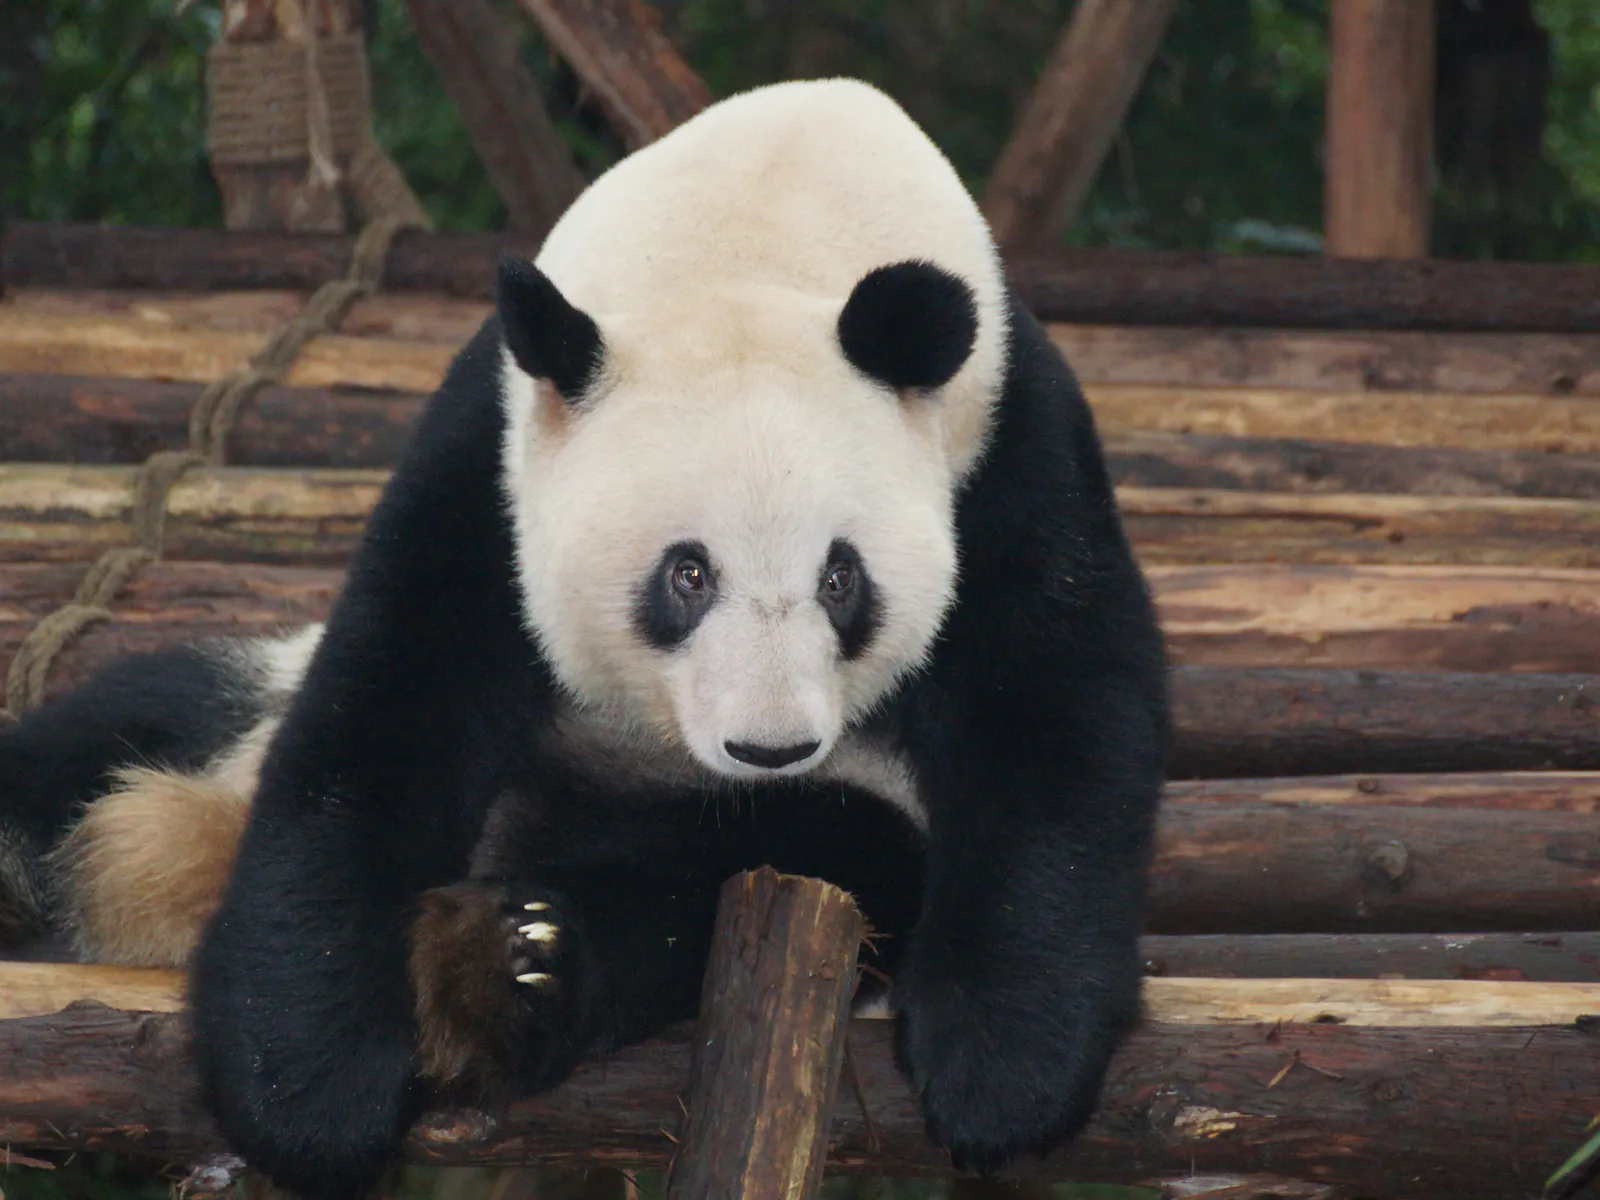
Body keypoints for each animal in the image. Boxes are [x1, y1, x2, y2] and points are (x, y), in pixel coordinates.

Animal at [0, 79, 1167, 1200]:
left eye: (842, 580)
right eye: (686, 575)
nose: (770, 745)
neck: (765, 229)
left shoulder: (1008, 445)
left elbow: (1059, 712)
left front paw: (1003, 1070)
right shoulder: (491, 457)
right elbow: (387, 706)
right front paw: (306, 1080)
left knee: (790, 853)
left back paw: (511, 964)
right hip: (227, 702)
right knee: (101, 739)